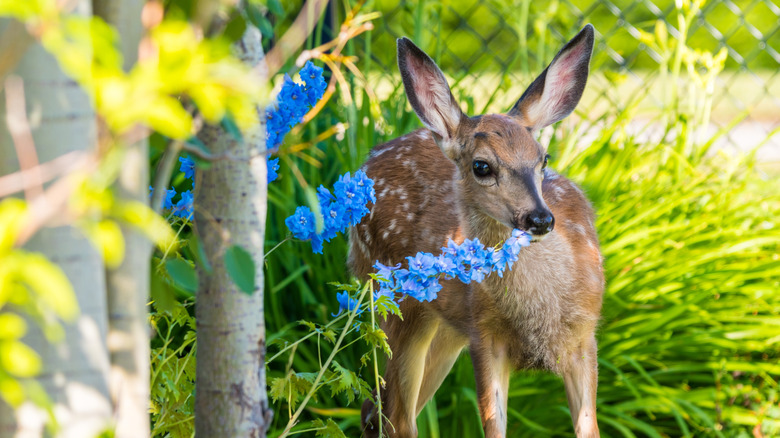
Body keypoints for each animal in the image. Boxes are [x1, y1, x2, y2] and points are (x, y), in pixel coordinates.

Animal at [347, 25, 604, 438]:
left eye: (544, 159)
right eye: (482, 167)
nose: (540, 220)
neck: (541, 314)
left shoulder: (584, 338)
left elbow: (588, 428)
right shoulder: (485, 337)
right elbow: (493, 426)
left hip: (445, 327)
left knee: (377, 408)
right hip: (394, 298)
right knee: (396, 416)